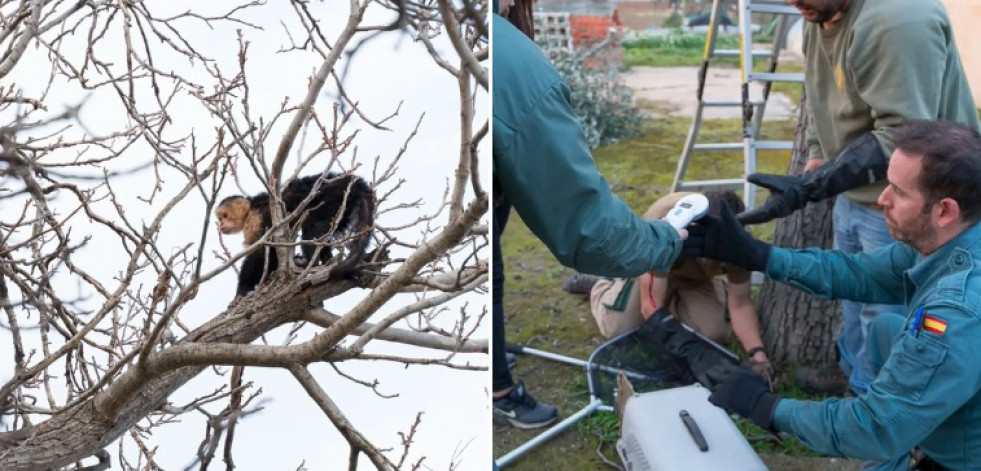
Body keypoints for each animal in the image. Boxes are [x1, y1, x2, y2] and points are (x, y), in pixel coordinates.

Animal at [214, 173, 376, 298]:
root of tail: (350, 180)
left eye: (224, 216)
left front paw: (243, 288)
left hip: (333, 195)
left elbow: (264, 252)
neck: (250, 209)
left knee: (313, 224)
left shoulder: (255, 219)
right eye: (220, 218)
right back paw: (325, 260)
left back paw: (310, 262)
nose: (221, 225)